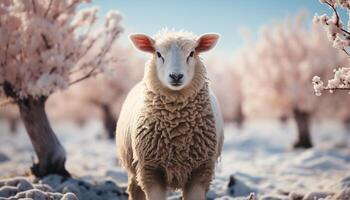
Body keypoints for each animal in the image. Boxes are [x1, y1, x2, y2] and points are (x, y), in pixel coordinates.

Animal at [115, 29, 224, 200]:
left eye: (191, 53)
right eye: (158, 54)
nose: (176, 76)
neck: (177, 129)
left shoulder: (201, 169)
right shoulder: (149, 169)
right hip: (133, 166)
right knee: (135, 189)